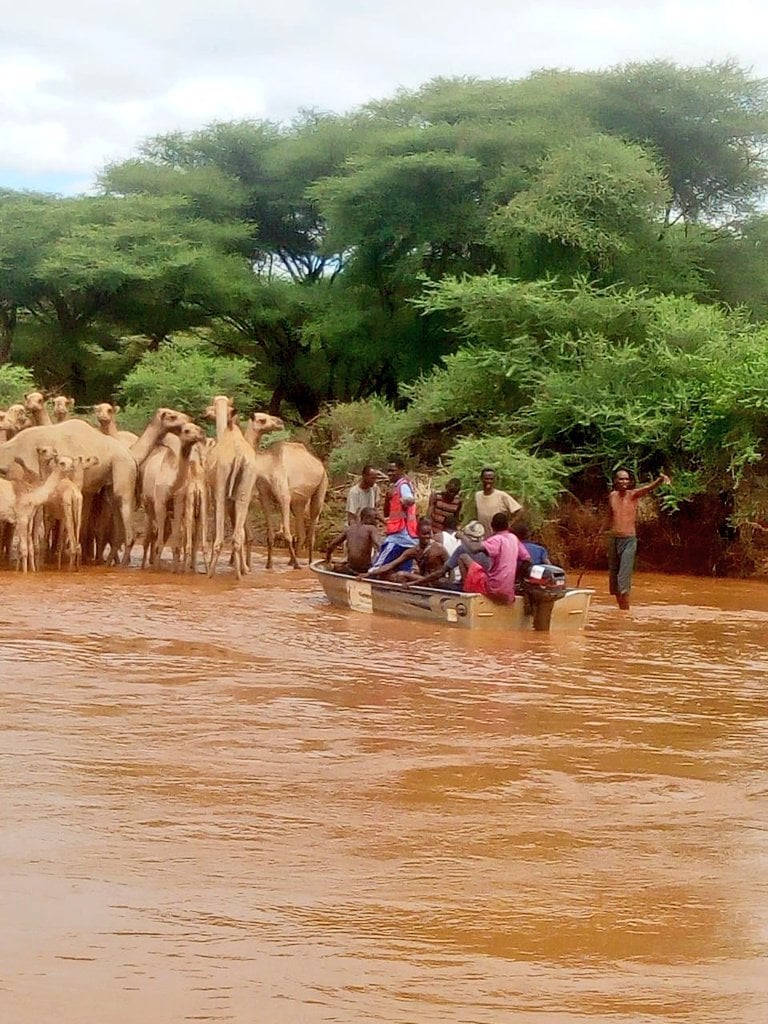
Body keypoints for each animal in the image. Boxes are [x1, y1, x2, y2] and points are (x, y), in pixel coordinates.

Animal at [205, 395, 260, 581]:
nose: (205, 413)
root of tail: (239, 456)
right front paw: (245, 568)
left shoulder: (216, 494)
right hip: (245, 487)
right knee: (238, 536)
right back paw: (239, 575)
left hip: (222, 489)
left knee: (220, 538)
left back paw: (210, 573)